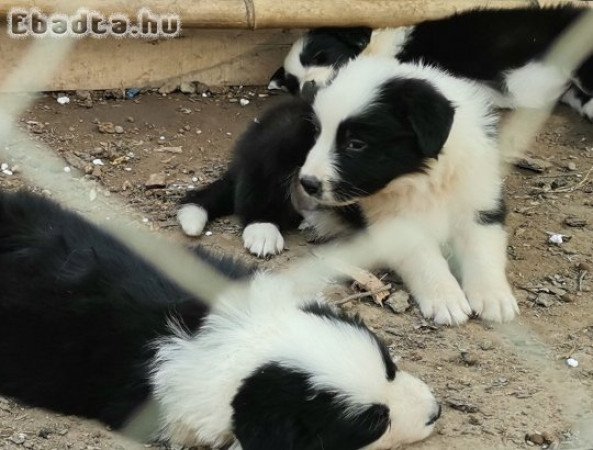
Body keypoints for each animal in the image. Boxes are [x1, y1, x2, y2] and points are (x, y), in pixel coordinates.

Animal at [298, 56, 516, 326]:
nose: (307, 183)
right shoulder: (396, 225)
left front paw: (493, 297)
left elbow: (483, 249)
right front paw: (446, 298)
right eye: (318, 134)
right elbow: (424, 259)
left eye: (356, 144)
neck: (423, 180)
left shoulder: (479, 200)